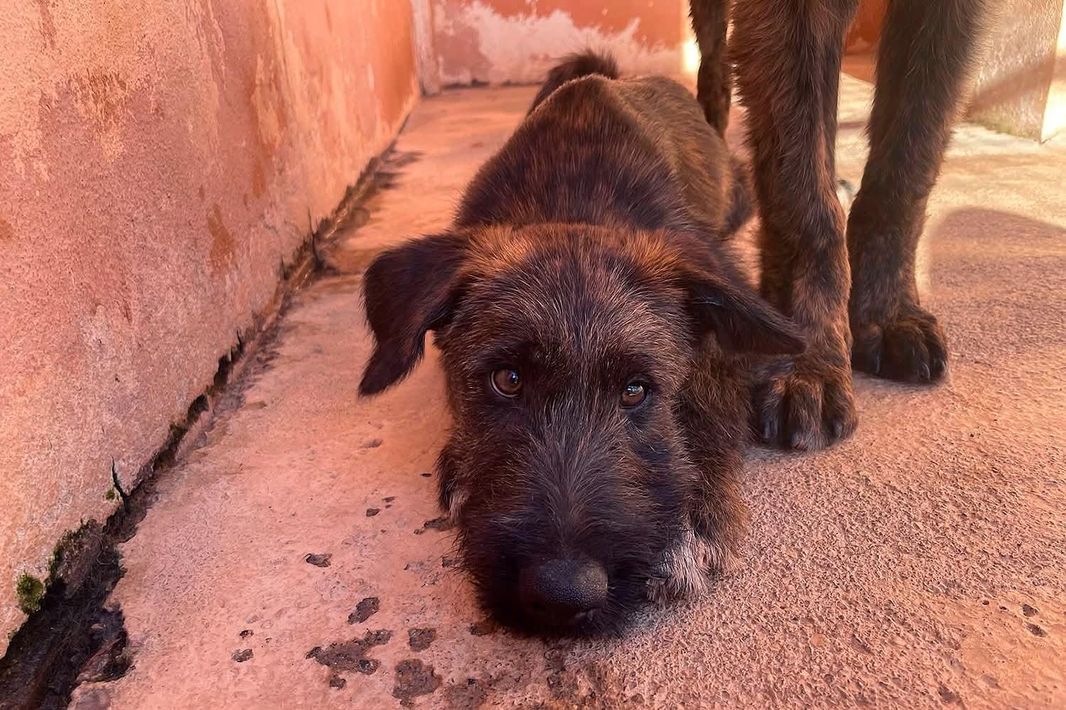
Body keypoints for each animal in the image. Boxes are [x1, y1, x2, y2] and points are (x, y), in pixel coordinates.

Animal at [359, 53, 802, 634]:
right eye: (507, 379)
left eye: (636, 390)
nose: (565, 596)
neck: (576, 203)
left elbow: (711, 402)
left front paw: (690, 520)